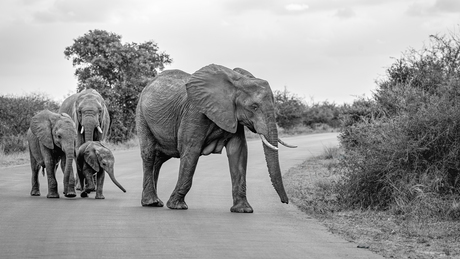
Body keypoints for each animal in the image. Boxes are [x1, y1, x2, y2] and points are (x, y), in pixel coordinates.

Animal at [135, 63, 296, 213]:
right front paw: (177, 206)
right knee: (149, 154)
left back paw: (154, 202)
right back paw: (151, 202)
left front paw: (243, 210)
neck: (236, 82)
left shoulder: (232, 115)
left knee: (160, 157)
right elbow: (191, 150)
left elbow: (238, 151)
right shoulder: (195, 111)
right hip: (141, 114)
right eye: (254, 107)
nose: (285, 202)